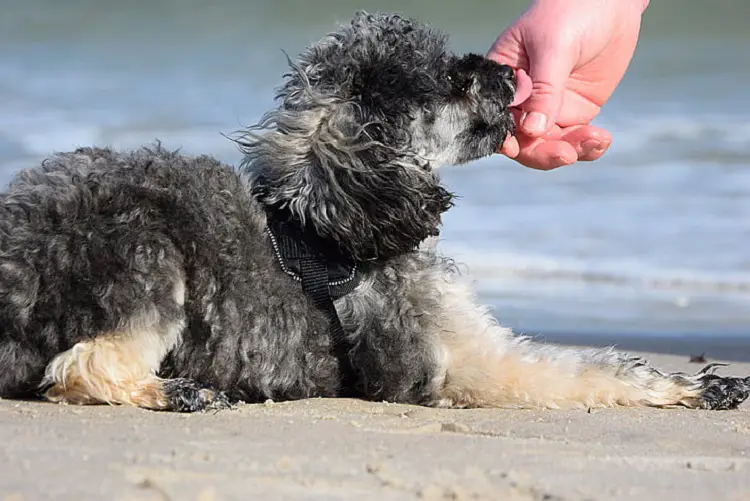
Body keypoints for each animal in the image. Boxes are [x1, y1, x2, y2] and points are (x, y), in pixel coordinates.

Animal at [0, 11, 748, 412]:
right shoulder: (457, 363)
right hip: (145, 254)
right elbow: (577, 371)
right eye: (451, 79)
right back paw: (181, 391)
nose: (510, 73)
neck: (336, 220)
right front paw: (687, 386)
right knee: (79, 367)